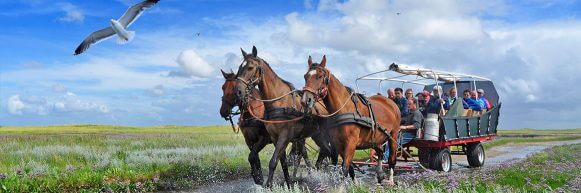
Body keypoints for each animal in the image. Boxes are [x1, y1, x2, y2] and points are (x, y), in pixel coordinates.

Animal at [234, 46, 338, 188]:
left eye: (250, 67)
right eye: (240, 68)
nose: (238, 92)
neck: (279, 101)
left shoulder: (284, 136)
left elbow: (273, 161)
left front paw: (268, 185)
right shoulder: (274, 137)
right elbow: (280, 161)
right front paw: (287, 183)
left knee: (331, 152)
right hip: (317, 135)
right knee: (325, 151)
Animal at [300, 55, 398, 185]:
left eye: (319, 76)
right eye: (305, 76)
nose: (306, 100)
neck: (344, 109)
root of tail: (391, 102)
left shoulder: (350, 144)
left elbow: (344, 168)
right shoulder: (339, 144)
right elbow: (349, 167)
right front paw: (355, 183)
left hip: (393, 136)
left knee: (392, 158)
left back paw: (390, 180)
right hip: (375, 139)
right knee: (381, 152)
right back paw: (380, 175)